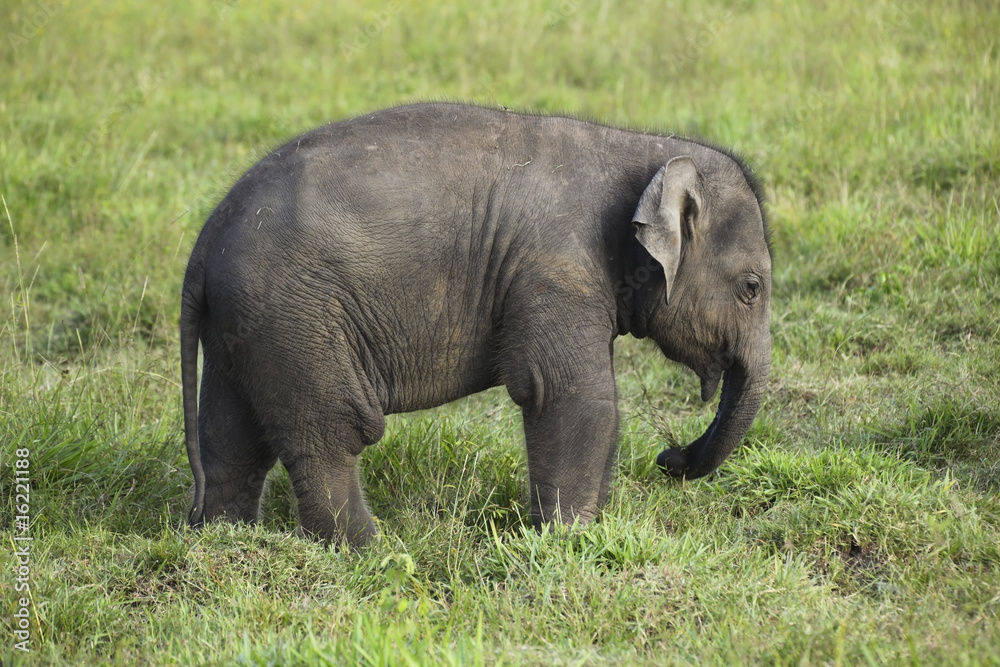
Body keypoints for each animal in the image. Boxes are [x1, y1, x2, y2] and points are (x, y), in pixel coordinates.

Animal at [180, 102, 771, 547]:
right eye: (751, 288)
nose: (669, 457)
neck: (641, 149)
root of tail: (205, 242)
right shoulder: (554, 272)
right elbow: (572, 395)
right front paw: (568, 543)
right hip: (296, 318)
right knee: (331, 434)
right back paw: (373, 553)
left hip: (245, 328)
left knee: (232, 441)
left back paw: (228, 542)